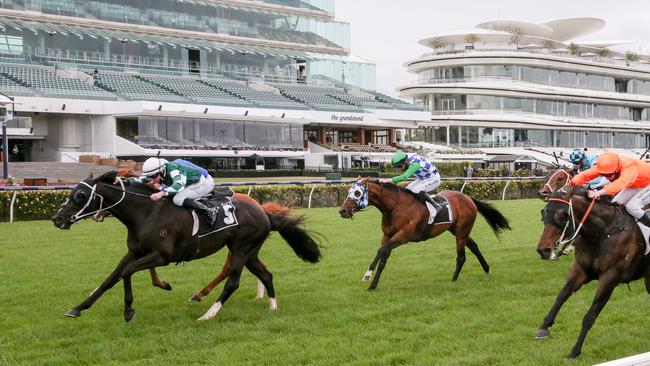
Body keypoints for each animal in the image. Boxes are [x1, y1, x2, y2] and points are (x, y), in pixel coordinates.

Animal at [52, 171, 320, 320]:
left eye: (80, 195)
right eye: (72, 192)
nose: (57, 218)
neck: (145, 211)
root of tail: (264, 213)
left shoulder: (161, 256)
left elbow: (127, 273)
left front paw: (128, 311)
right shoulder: (135, 251)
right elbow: (111, 279)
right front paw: (78, 308)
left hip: (242, 248)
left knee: (233, 282)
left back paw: (208, 314)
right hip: (247, 251)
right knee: (265, 273)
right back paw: (272, 305)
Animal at [336, 179, 508, 290]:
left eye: (357, 193)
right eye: (348, 191)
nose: (342, 211)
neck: (394, 207)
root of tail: (468, 197)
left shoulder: (403, 237)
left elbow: (381, 250)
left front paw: (367, 274)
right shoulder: (387, 236)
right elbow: (383, 257)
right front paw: (373, 285)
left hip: (461, 231)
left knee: (461, 257)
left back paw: (453, 280)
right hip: (456, 230)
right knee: (474, 246)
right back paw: (486, 269)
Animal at [532, 187, 648, 358]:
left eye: (562, 216)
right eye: (543, 213)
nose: (543, 250)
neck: (603, 233)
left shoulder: (609, 278)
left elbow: (590, 315)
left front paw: (574, 351)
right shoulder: (580, 270)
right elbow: (561, 296)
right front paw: (543, 327)